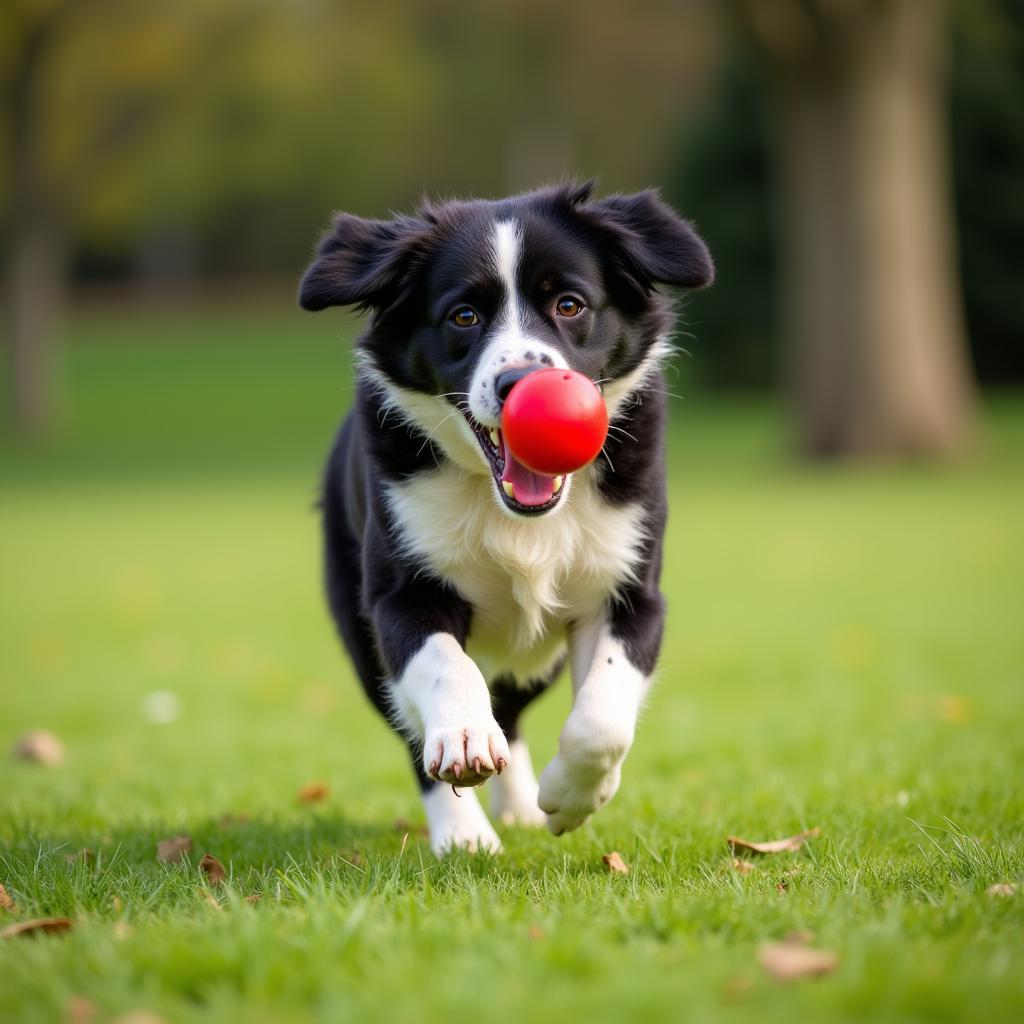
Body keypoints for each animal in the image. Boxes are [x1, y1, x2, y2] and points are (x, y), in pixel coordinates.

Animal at [296, 180, 712, 851]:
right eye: (463, 316)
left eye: (569, 304)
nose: (522, 382)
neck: (520, 519)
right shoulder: (400, 596)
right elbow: (446, 665)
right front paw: (465, 742)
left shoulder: (629, 589)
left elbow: (604, 716)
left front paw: (569, 797)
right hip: (360, 634)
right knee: (417, 727)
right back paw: (465, 834)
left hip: (536, 660)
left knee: (513, 709)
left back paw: (518, 807)